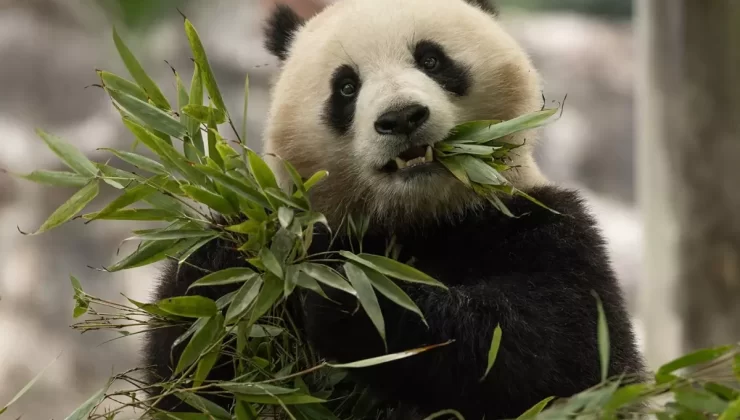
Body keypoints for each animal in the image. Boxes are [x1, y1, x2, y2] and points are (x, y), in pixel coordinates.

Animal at [142, 0, 646, 418]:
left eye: (431, 60)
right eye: (346, 86)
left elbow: (559, 352)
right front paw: (232, 265)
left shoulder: (543, 226)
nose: (402, 117)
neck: (420, 216)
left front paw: (348, 295)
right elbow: (191, 375)